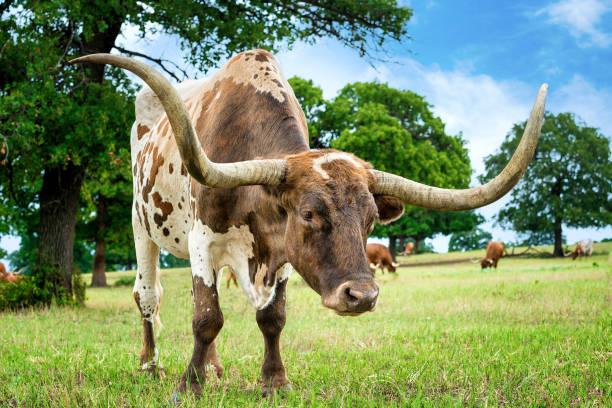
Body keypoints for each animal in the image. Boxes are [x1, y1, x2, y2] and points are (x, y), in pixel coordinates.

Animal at [70, 50, 544, 398]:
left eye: (371, 220)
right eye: (309, 214)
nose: (362, 296)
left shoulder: (280, 251)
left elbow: (272, 318)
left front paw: (273, 383)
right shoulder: (204, 240)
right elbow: (206, 317)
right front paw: (189, 386)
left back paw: (216, 368)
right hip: (141, 226)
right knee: (149, 297)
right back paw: (151, 366)